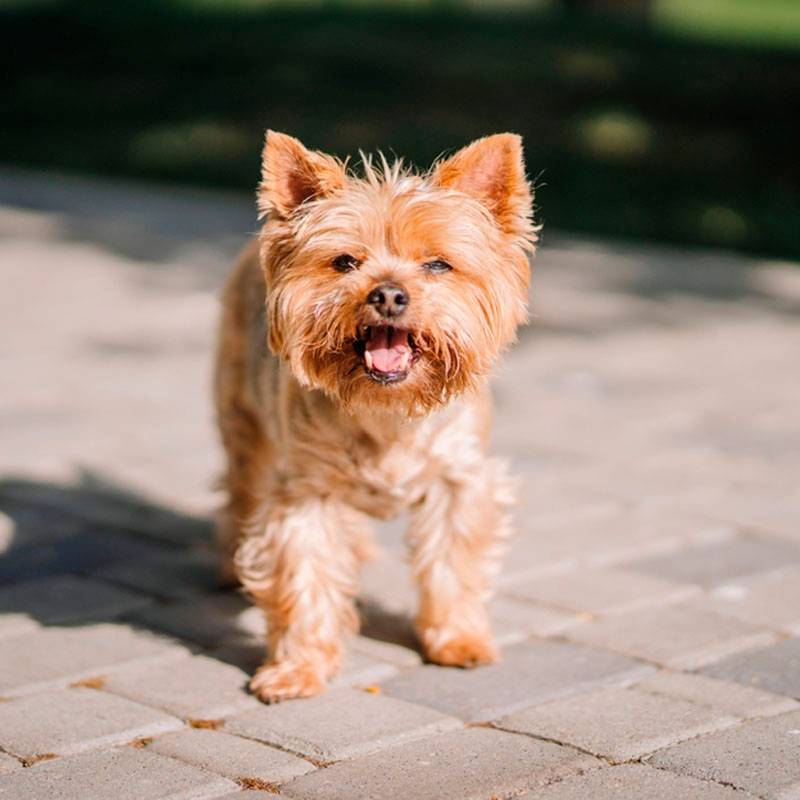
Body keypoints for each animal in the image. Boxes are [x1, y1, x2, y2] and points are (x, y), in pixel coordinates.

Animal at [212, 130, 536, 700]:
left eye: (438, 265)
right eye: (345, 262)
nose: (387, 294)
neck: (388, 410)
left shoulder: (460, 480)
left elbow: (453, 562)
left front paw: (458, 639)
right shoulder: (306, 493)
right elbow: (305, 576)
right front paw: (298, 668)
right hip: (243, 421)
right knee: (241, 485)